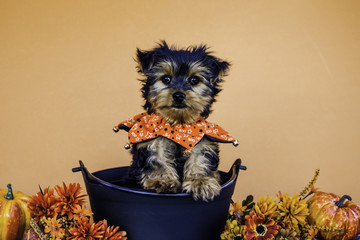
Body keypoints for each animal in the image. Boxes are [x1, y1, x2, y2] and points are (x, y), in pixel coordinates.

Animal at [113, 41, 236, 201]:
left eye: (194, 80)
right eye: (166, 79)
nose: (178, 95)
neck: (178, 125)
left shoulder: (200, 140)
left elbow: (200, 159)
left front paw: (200, 181)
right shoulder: (152, 142)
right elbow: (157, 161)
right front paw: (162, 181)